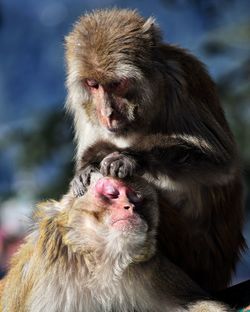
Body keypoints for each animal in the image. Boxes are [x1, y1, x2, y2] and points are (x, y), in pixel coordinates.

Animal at [0, 173, 234, 312]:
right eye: (112, 193)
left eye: (135, 196)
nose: (129, 207)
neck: (99, 259)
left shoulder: (151, 271)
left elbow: (195, 303)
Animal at [65, 8, 246, 292]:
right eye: (93, 84)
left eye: (116, 84)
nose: (107, 113)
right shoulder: (85, 109)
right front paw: (87, 167)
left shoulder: (179, 81)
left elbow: (219, 163)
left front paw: (129, 158)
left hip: (197, 256)